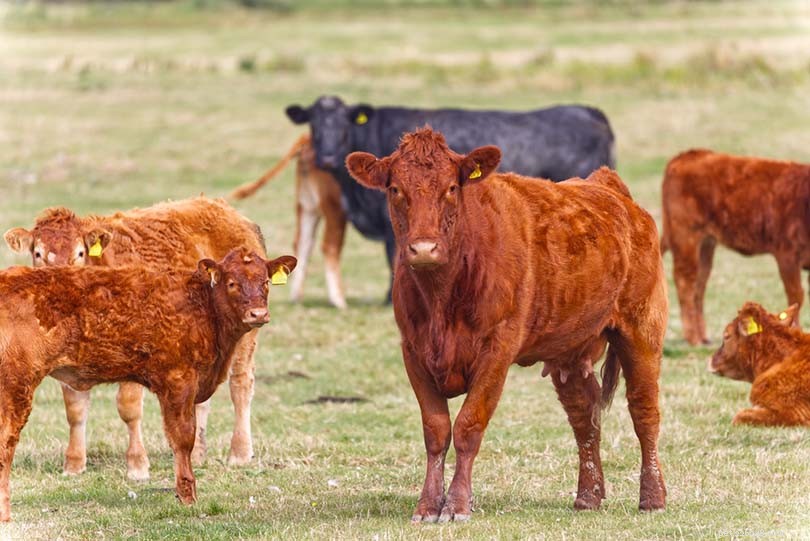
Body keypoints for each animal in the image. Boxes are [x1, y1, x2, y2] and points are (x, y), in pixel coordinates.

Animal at [0, 249, 297, 522]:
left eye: (266, 282)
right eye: (232, 282)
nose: (258, 313)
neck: (204, 306)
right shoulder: (178, 379)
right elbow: (183, 438)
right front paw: (188, 497)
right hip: (17, 386)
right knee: (7, 441)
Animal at [4, 197, 267, 480]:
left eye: (80, 253)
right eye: (38, 253)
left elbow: (128, 408)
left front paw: (137, 465)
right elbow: (75, 410)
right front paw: (73, 464)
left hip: (245, 333)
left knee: (241, 384)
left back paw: (240, 452)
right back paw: (197, 453)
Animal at [231, 134, 348, 309]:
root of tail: (307, 138)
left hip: (307, 205)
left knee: (303, 243)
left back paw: (297, 297)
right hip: (334, 207)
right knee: (330, 246)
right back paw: (338, 300)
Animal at [346, 128, 667, 520]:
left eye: (451, 187)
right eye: (395, 188)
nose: (423, 249)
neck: (441, 298)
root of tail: (607, 186)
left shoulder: (497, 351)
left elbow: (468, 425)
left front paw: (457, 505)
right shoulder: (413, 351)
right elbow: (436, 430)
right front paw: (427, 505)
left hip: (642, 328)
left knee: (644, 410)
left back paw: (652, 497)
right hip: (570, 350)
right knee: (584, 415)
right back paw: (588, 496)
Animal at [660, 149, 810, 345]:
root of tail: (688, 154)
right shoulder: (787, 254)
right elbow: (796, 297)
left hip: (706, 243)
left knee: (699, 285)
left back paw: (703, 337)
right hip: (686, 236)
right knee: (685, 282)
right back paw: (692, 338)